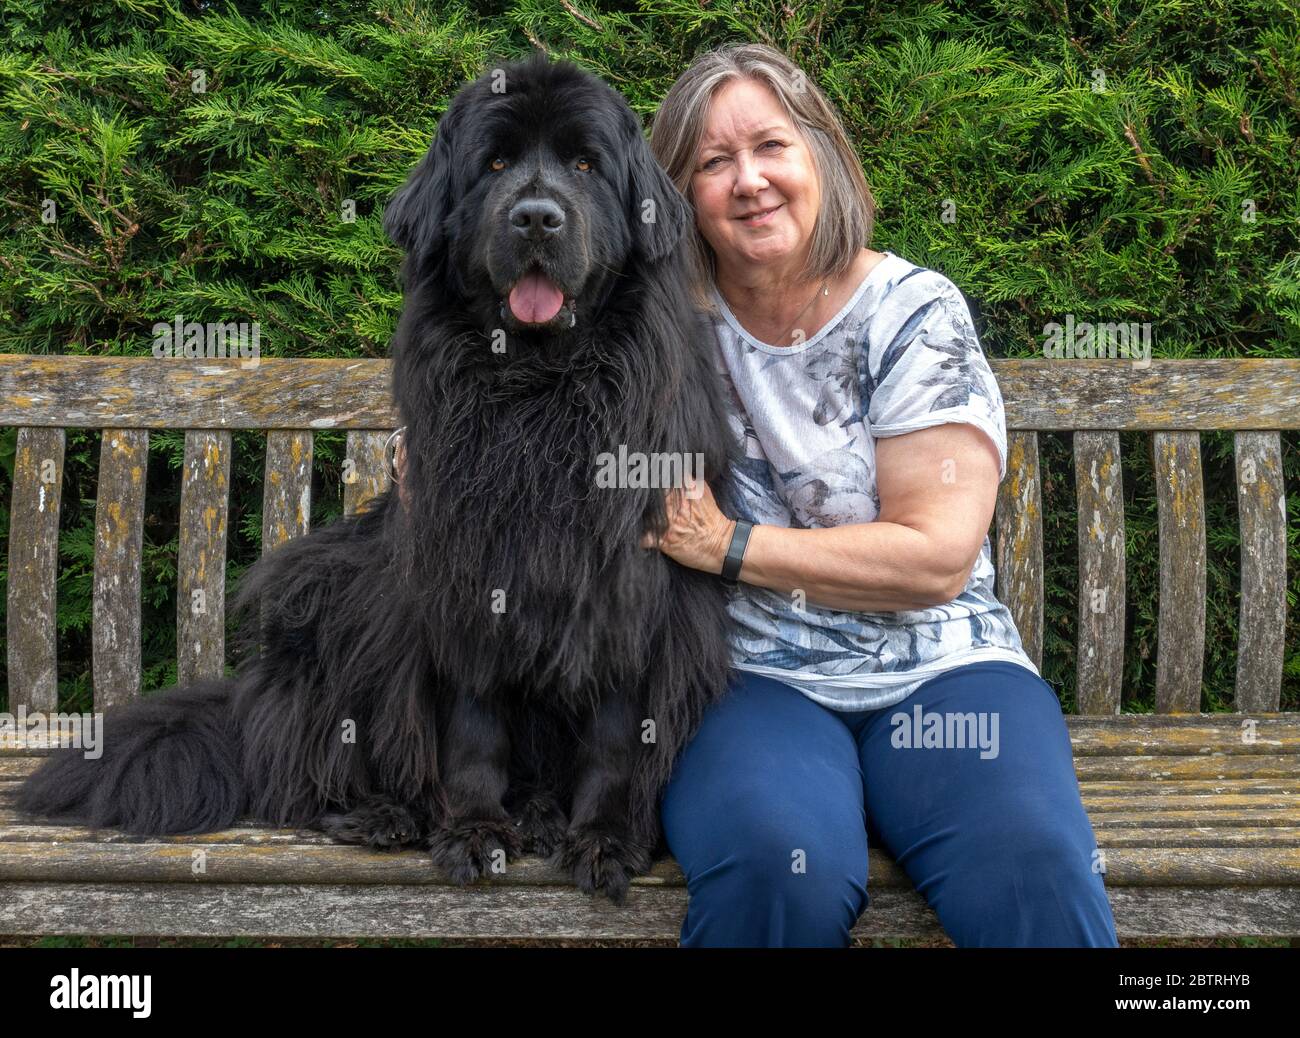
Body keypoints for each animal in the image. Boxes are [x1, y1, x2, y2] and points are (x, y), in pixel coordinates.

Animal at [17, 52, 743, 905]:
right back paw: (384, 813)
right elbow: (472, 726)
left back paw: (537, 815)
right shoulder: (460, 578)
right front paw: (474, 830)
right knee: (300, 767)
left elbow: (615, 736)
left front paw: (601, 842)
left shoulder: (628, 592)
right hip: (327, 595)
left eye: (586, 166)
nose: (536, 218)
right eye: (495, 165)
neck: (537, 389)